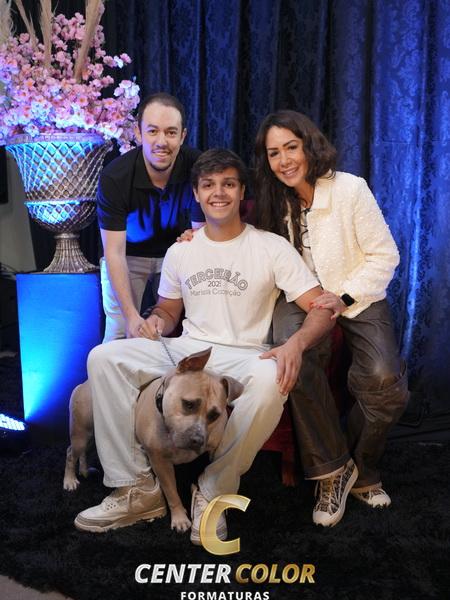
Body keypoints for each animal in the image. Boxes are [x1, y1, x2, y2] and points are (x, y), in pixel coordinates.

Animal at [63, 347, 243, 533]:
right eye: (188, 404)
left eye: (214, 415)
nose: (198, 439)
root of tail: (84, 384)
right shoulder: (160, 462)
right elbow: (171, 492)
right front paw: (179, 518)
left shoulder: (214, 451)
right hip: (81, 435)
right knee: (70, 453)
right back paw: (69, 481)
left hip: (92, 437)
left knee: (83, 452)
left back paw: (84, 469)